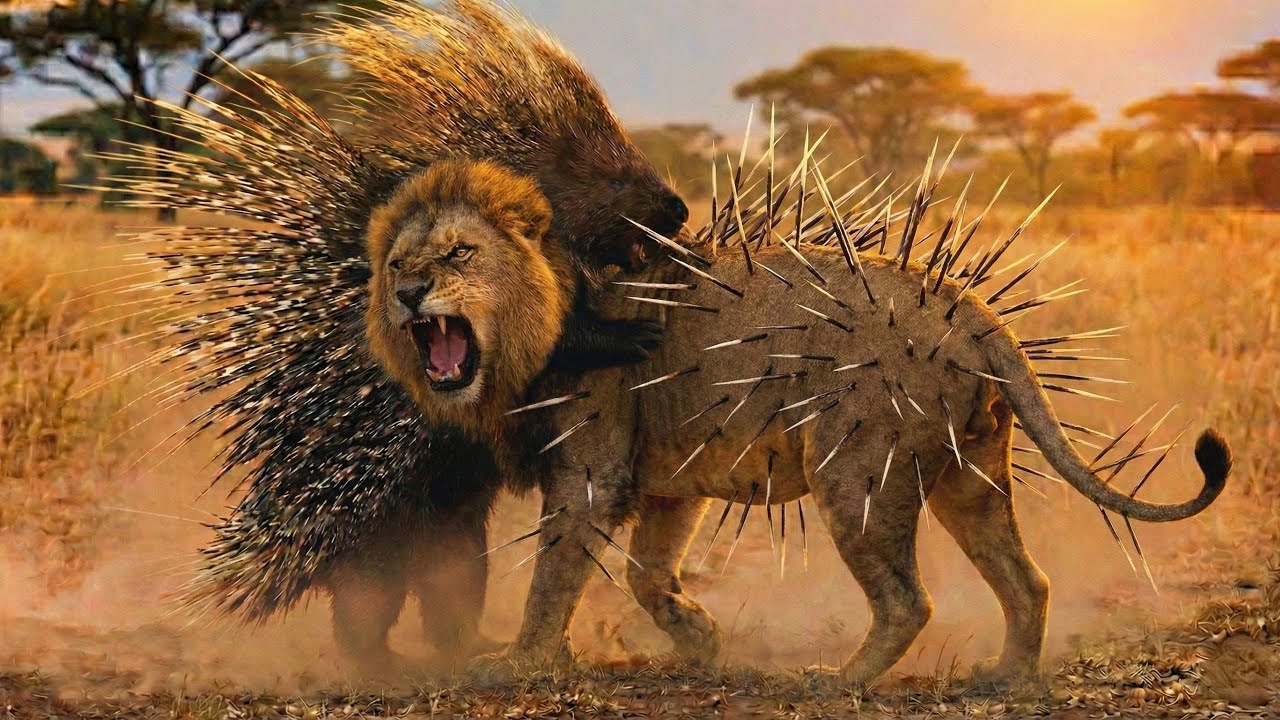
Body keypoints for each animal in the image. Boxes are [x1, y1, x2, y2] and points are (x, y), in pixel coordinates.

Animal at [363, 161, 1231, 685]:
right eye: (398, 262)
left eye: (456, 254)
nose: (406, 294)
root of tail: (981, 317)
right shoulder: (675, 479)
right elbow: (649, 573)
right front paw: (701, 642)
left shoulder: (592, 472)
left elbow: (554, 575)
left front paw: (519, 663)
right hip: (970, 470)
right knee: (1027, 579)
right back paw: (1008, 678)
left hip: (856, 470)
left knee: (908, 599)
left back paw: (843, 682)